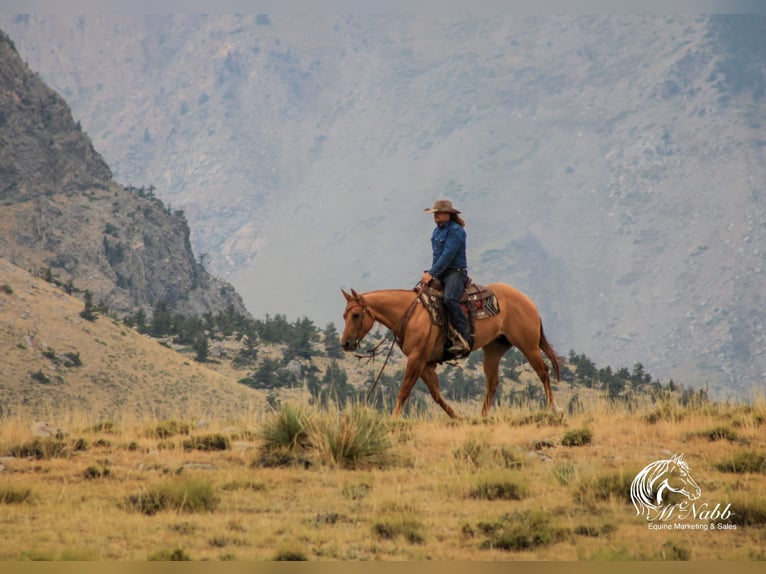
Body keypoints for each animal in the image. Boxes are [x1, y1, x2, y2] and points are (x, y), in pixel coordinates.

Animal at [344, 286, 560, 420]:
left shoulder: (416, 359)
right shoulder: (425, 363)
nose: (345, 343)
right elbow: (436, 395)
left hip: (528, 346)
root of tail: (528, 301)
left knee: (543, 372)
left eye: (356, 315)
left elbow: (404, 390)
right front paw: (458, 417)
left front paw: (394, 418)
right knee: (492, 383)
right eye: (344, 315)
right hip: (493, 349)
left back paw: (552, 408)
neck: (411, 314)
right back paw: (482, 417)